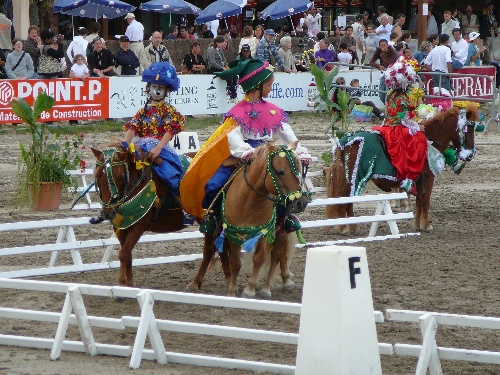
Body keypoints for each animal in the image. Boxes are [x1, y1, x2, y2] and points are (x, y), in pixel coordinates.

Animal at [91, 142, 185, 286]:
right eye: (97, 176)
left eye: (120, 177)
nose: (108, 213)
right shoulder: (121, 227)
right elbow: (127, 254)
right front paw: (129, 284)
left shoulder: (139, 226)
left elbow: (123, 253)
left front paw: (121, 283)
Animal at [188, 142, 310, 298]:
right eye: (280, 171)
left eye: (299, 170)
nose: (301, 202)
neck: (249, 202)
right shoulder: (231, 232)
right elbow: (234, 261)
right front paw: (232, 290)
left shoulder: (264, 232)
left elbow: (259, 258)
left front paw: (250, 289)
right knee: (210, 250)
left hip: (282, 230)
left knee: (277, 255)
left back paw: (269, 287)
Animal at [326, 106, 478, 234]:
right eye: (469, 129)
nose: (470, 154)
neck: (430, 140)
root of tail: (346, 140)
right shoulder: (428, 178)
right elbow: (426, 200)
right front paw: (427, 226)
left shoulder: (419, 180)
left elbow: (419, 201)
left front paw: (417, 225)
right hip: (353, 176)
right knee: (345, 199)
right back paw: (345, 227)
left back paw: (351, 227)